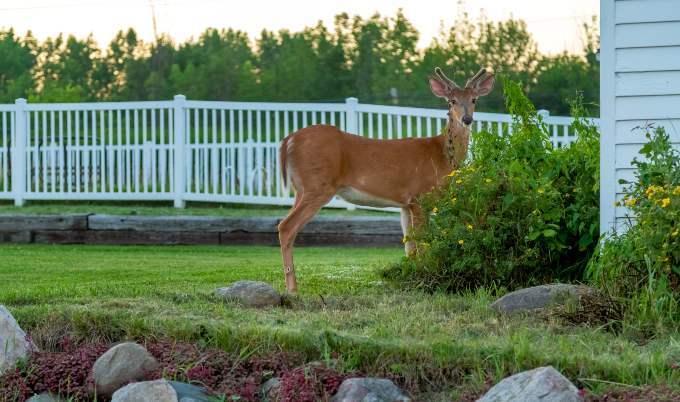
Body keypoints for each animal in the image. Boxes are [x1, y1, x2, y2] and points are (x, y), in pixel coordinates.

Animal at [277, 67, 495, 293]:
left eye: (474, 99)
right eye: (451, 101)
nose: (467, 119)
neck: (442, 155)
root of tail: (288, 140)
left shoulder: (406, 204)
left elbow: (409, 247)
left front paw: (411, 279)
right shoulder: (421, 197)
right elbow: (421, 244)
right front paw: (425, 279)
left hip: (301, 188)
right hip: (318, 186)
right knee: (286, 227)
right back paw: (292, 289)